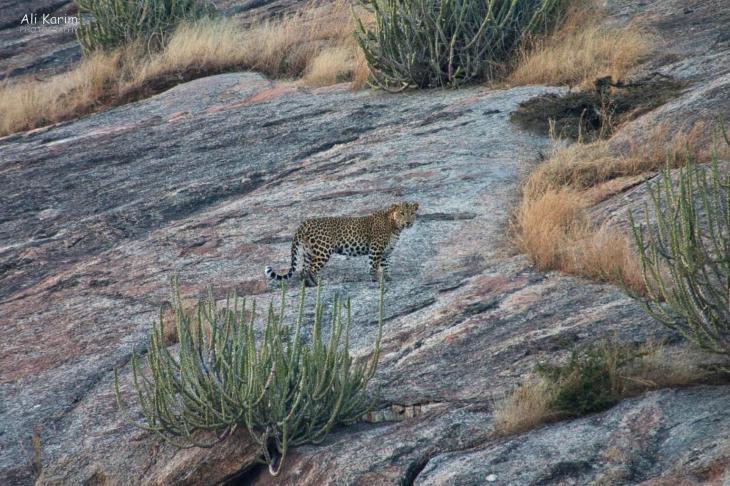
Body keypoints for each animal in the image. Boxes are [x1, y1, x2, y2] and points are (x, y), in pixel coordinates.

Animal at [265, 201, 419, 287]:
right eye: (402, 213)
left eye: (412, 213)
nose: (408, 222)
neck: (395, 226)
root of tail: (304, 223)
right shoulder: (376, 248)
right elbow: (373, 265)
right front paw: (375, 280)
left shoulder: (386, 251)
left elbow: (386, 265)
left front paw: (388, 278)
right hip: (323, 250)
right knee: (312, 269)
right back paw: (318, 284)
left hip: (307, 251)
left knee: (303, 271)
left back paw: (308, 286)